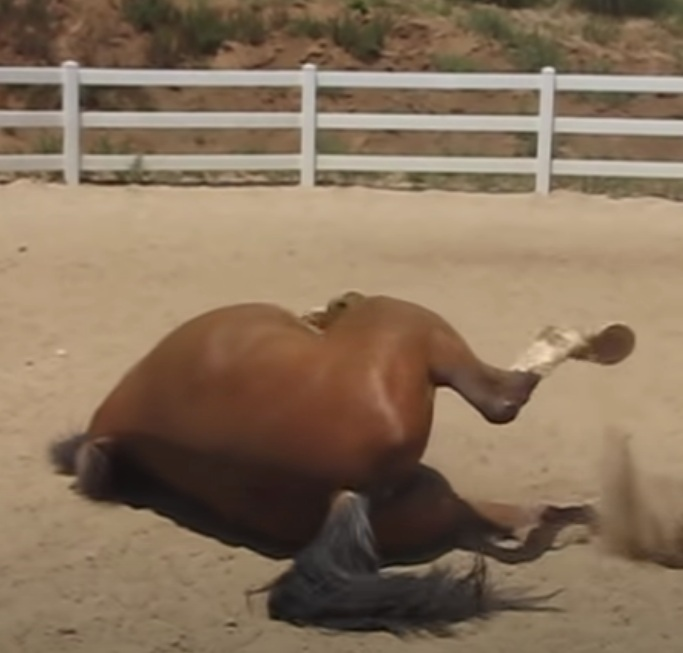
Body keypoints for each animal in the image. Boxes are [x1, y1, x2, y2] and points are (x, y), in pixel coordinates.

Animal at [48, 291, 635, 635]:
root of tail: (345, 495)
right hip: (418, 331)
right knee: (502, 402)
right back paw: (597, 344)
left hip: (430, 497)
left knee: (495, 506)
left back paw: (577, 517)